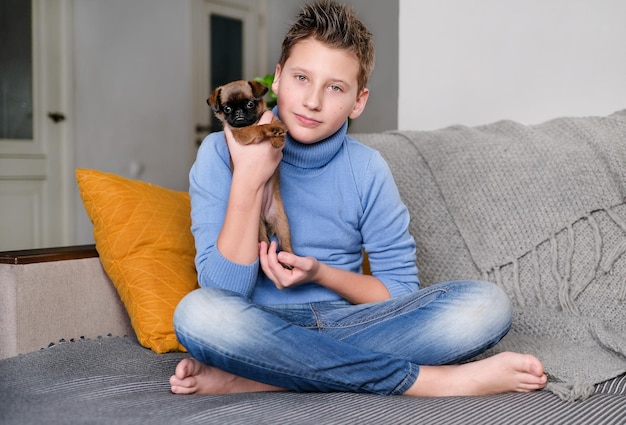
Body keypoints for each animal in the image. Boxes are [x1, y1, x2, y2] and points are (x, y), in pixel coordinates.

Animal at [206, 79, 292, 258]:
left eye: (250, 104)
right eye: (227, 108)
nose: (238, 112)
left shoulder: (272, 117)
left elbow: (275, 123)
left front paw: (278, 139)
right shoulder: (242, 134)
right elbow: (259, 128)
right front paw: (270, 131)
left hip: (283, 224)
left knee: (286, 245)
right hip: (257, 229)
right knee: (265, 243)